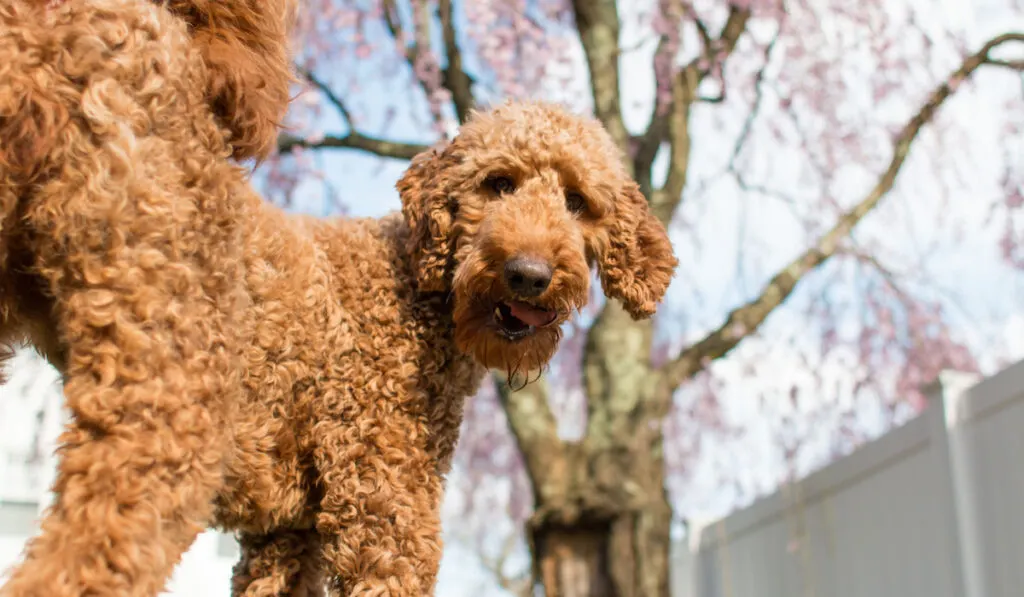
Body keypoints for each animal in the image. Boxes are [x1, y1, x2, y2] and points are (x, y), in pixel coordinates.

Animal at [2, 1, 679, 597]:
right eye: (498, 183)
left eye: (578, 202)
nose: (529, 274)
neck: (419, 296)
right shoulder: (385, 503)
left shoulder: (285, 534)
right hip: (172, 385)